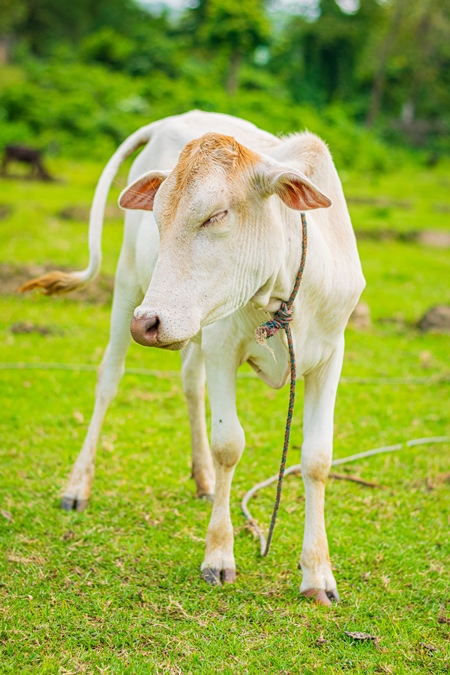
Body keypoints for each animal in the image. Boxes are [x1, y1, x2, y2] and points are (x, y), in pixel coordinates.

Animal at [22, 108, 366, 604]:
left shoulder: (329, 357)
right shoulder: (223, 348)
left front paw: (318, 574)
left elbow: (318, 458)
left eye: (217, 214)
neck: (283, 290)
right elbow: (229, 444)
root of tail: (178, 117)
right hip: (128, 287)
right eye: (157, 217)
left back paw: (203, 480)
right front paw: (219, 556)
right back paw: (77, 486)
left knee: (189, 383)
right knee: (109, 378)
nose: (149, 323)